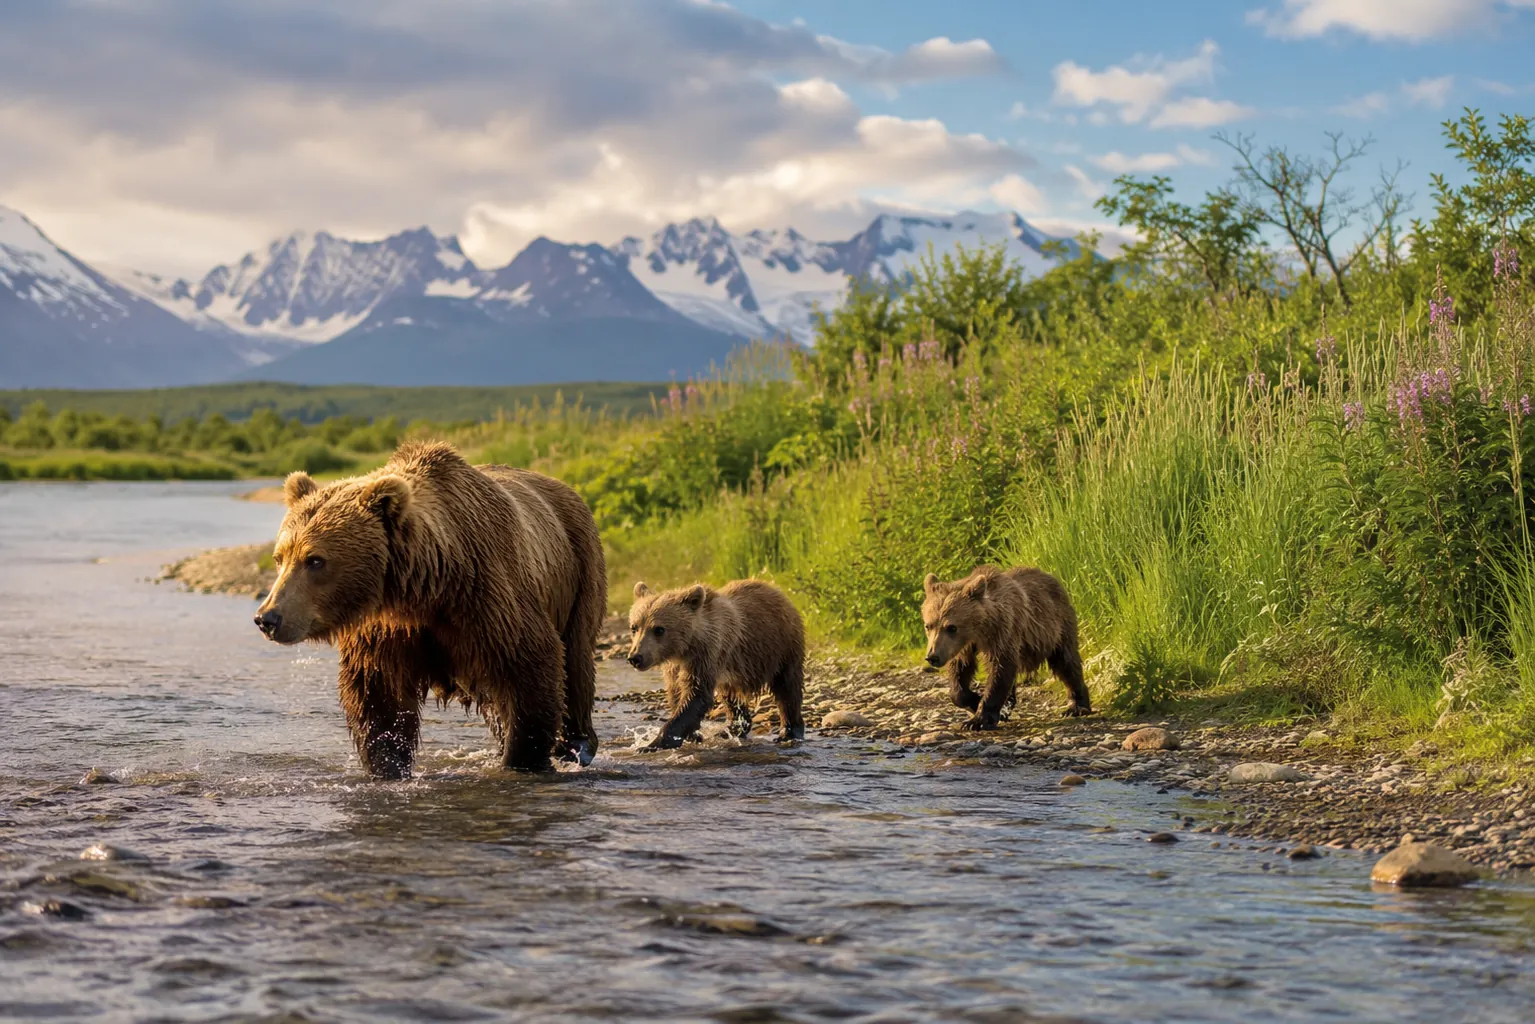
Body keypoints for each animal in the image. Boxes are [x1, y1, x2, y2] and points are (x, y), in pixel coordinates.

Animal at [252, 440, 607, 777]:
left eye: (315, 560)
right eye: (280, 557)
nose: (267, 617)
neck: (426, 588)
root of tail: (565, 488)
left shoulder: (490, 599)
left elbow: (531, 666)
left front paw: (522, 759)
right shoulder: (386, 629)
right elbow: (378, 695)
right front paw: (389, 764)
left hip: (580, 570)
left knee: (576, 660)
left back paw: (576, 744)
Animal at [625, 579, 805, 750]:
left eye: (659, 629)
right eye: (634, 627)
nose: (636, 657)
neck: (684, 648)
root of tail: (778, 591)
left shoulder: (706, 655)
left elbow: (696, 694)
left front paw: (651, 745)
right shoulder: (675, 667)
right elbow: (678, 693)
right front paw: (693, 735)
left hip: (782, 646)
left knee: (787, 688)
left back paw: (789, 732)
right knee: (731, 697)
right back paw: (731, 729)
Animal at [920, 565, 1091, 729]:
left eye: (951, 627)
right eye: (928, 626)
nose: (932, 657)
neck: (980, 629)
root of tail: (1052, 577)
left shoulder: (1003, 632)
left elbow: (1000, 669)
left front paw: (978, 720)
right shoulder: (964, 647)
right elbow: (960, 672)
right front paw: (976, 701)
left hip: (1057, 626)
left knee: (1066, 662)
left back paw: (1077, 706)